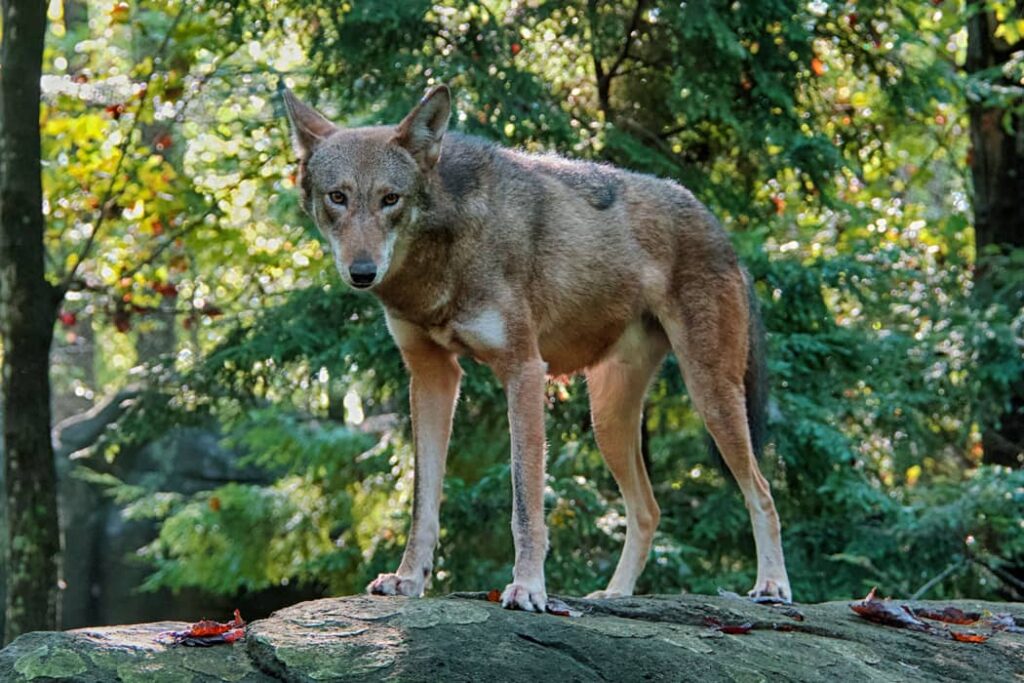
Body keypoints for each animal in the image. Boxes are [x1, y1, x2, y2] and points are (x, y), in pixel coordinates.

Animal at [283, 84, 791, 610]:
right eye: (338, 197)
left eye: (390, 199)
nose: (362, 272)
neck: (439, 260)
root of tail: (721, 230)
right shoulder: (431, 376)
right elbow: (423, 502)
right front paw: (408, 579)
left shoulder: (524, 370)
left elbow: (525, 501)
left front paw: (528, 587)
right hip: (608, 420)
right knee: (648, 509)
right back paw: (615, 594)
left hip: (709, 394)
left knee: (762, 490)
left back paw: (773, 586)